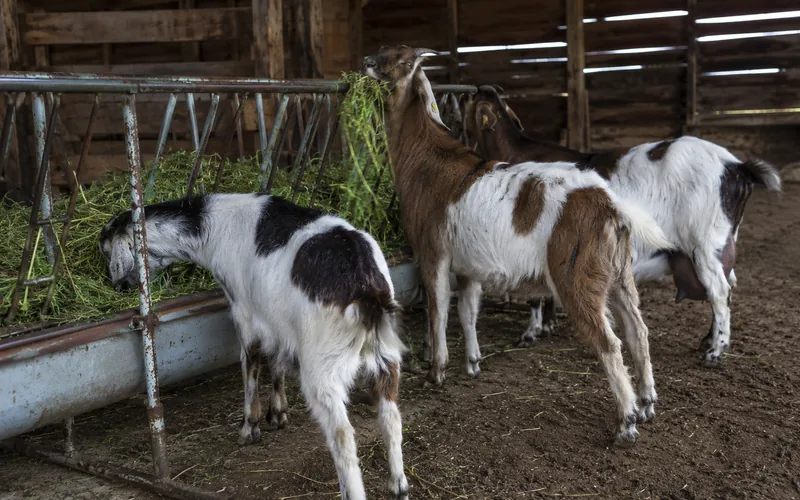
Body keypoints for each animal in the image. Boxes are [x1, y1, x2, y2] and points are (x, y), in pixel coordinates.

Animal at [99, 193, 409, 500]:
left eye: (105, 251)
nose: (119, 286)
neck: (211, 227)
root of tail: (367, 290)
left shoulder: (243, 313)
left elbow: (250, 366)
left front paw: (250, 426)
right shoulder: (277, 320)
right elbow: (277, 362)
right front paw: (278, 413)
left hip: (323, 365)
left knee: (343, 434)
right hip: (386, 355)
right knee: (391, 417)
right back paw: (398, 486)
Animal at [363, 45, 674, 445]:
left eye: (399, 59)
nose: (366, 63)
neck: (428, 160)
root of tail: (609, 204)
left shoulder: (433, 253)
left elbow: (438, 311)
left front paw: (437, 372)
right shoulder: (469, 265)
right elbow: (467, 311)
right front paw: (473, 363)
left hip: (577, 276)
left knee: (609, 342)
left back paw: (627, 422)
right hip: (619, 274)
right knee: (638, 332)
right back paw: (648, 402)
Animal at [464, 85, 782, 366]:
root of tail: (737, 167)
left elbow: (534, 297)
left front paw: (531, 333)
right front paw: (548, 325)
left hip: (705, 242)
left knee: (719, 291)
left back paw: (715, 352)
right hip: (723, 243)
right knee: (727, 285)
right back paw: (707, 341)